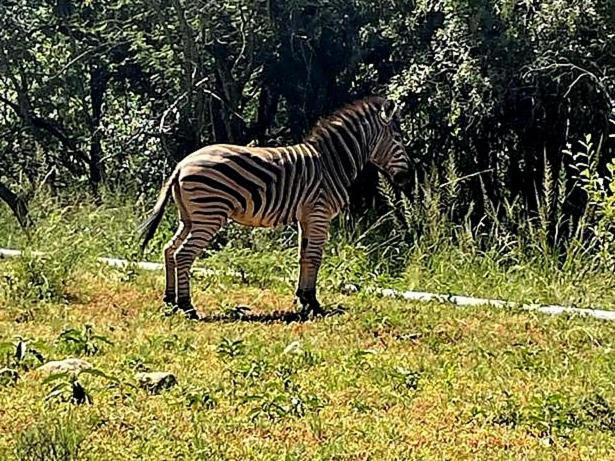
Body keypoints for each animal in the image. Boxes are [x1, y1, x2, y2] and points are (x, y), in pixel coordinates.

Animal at [139, 96, 410, 320]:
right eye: (398, 139)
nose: (407, 177)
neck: (331, 163)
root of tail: (181, 165)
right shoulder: (319, 213)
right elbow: (315, 257)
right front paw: (314, 304)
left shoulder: (306, 217)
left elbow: (304, 256)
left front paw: (304, 299)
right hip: (209, 214)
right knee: (183, 254)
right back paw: (187, 307)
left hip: (189, 217)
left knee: (169, 249)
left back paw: (170, 300)